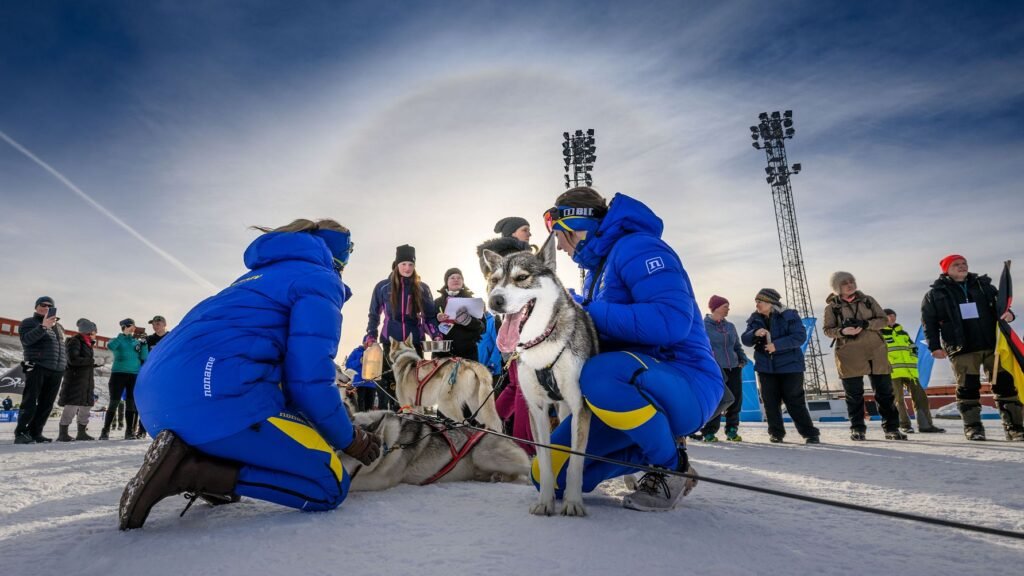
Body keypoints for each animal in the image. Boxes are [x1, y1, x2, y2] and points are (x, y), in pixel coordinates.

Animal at [339, 407, 532, 487]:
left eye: (350, 453)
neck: (390, 442)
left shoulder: (381, 479)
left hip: (483, 455)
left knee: (528, 468)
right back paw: (498, 477)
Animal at [481, 237, 598, 516]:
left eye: (522, 277)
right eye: (495, 280)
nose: (495, 301)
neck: (542, 344)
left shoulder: (580, 407)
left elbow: (576, 461)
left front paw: (573, 502)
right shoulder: (536, 409)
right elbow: (544, 461)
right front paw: (546, 501)